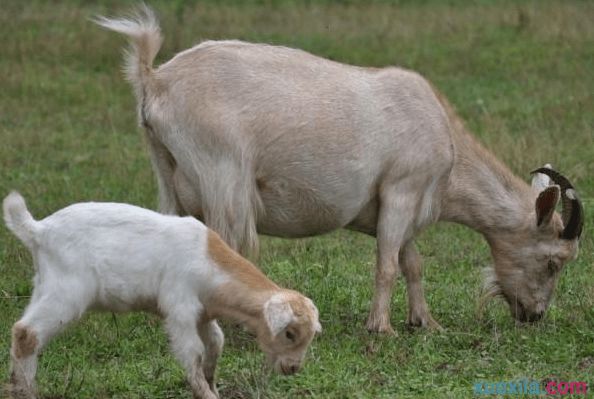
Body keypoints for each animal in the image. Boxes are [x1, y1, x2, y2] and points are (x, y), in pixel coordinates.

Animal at [2, 192, 322, 399]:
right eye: (290, 333)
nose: (292, 368)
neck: (208, 260)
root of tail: (39, 229)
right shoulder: (180, 309)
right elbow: (193, 353)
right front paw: (205, 394)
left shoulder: (203, 314)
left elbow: (215, 344)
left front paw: (213, 386)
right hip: (65, 293)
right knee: (27, 333)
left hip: (44, 287)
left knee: (22, 331)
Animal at [95, 7, 580, 338]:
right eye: (554, 262)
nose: (533, 316)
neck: (449, 147)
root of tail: (154, 80)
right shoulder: (403, 188)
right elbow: (387, 264)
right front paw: (381, 328)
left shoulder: (399, 206)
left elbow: (412, 262)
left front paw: (425, 322)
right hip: (223, 175)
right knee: (227, 245)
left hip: (169, 172)